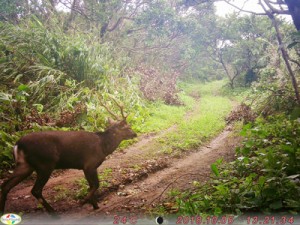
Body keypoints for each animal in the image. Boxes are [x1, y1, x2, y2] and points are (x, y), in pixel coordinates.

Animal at [0, 98, 137, 214]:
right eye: (128, 127)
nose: (135, 134)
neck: (103, 146)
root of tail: (17, 144)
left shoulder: (87, 167)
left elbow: (92, 185)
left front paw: (95, 205)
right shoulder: (89, 164)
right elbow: (96, 184)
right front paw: (83, 201)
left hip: (25, 165)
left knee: (6, 185)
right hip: (45, 164)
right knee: (35, 190)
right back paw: (54, 213)